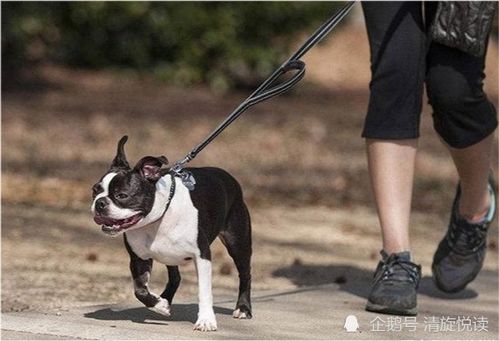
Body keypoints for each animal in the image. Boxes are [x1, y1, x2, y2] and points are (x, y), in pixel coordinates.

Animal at [91, 135, 252, 330]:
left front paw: (206, 320)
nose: (99, 203)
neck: (157, 219)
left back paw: (243, 308)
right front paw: (159, 305)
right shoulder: (138, 259)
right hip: (170, 255)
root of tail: (228, 176)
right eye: (95, 191)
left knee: (245, 274)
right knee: (175, 277)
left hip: (238, 243)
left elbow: (204, 291)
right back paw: (164, 300)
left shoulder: (202, 256)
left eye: (122, 195)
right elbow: (140, 290)